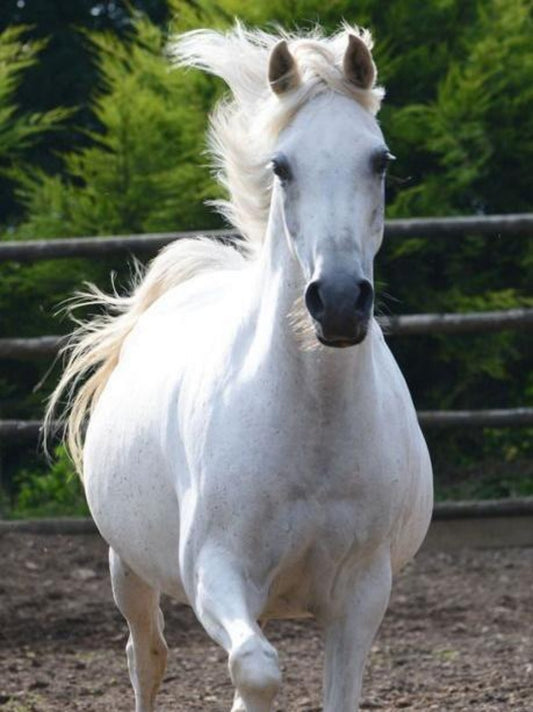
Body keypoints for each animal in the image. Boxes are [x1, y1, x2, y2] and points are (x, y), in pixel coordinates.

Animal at [47, 23, 433, 712]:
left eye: (379, 161)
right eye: (282, 166)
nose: (338, 302)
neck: (310, 426)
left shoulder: (361, 594)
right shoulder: (215, 573)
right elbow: (254, 668)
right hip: (129, 566)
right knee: (146, 656)